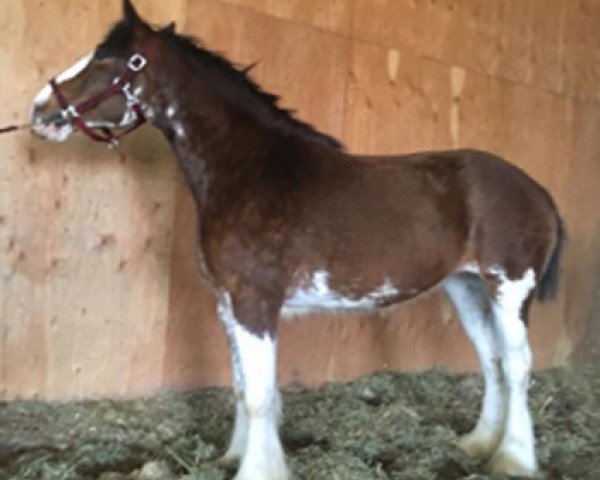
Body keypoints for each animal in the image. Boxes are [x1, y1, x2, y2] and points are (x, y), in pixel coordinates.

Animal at [28, 1, 564, 478]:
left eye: (108, 59)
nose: (39, 110)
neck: (249, 170)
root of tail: (537, 191)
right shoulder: (229, 304)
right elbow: (243, 388)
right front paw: (235, 456)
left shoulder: (256, 303)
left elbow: (261, 395)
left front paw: (259, 469)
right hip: (467, 288)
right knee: (492, 361)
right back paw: (479, 444)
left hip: (509, 288)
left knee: (517, 365)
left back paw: (514, 459)